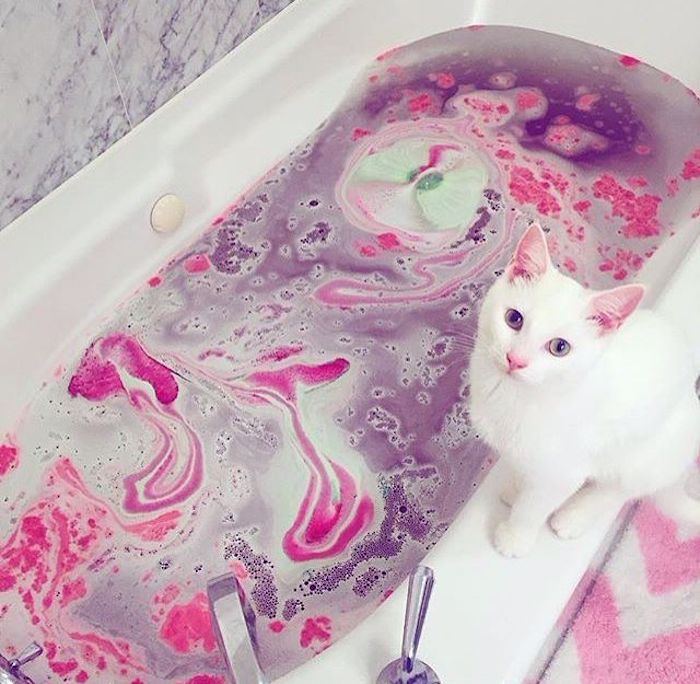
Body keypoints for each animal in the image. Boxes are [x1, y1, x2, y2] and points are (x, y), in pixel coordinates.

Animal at [468, 222, 700, 560]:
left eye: (559, 348)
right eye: (513, 318)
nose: (515, 360)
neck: (515, 396)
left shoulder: (562, 471)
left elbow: (532, 507)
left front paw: (514, 537)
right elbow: (520, 470)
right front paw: (516, 487)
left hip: (644, 456)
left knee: (619, 491)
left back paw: (573, 517)